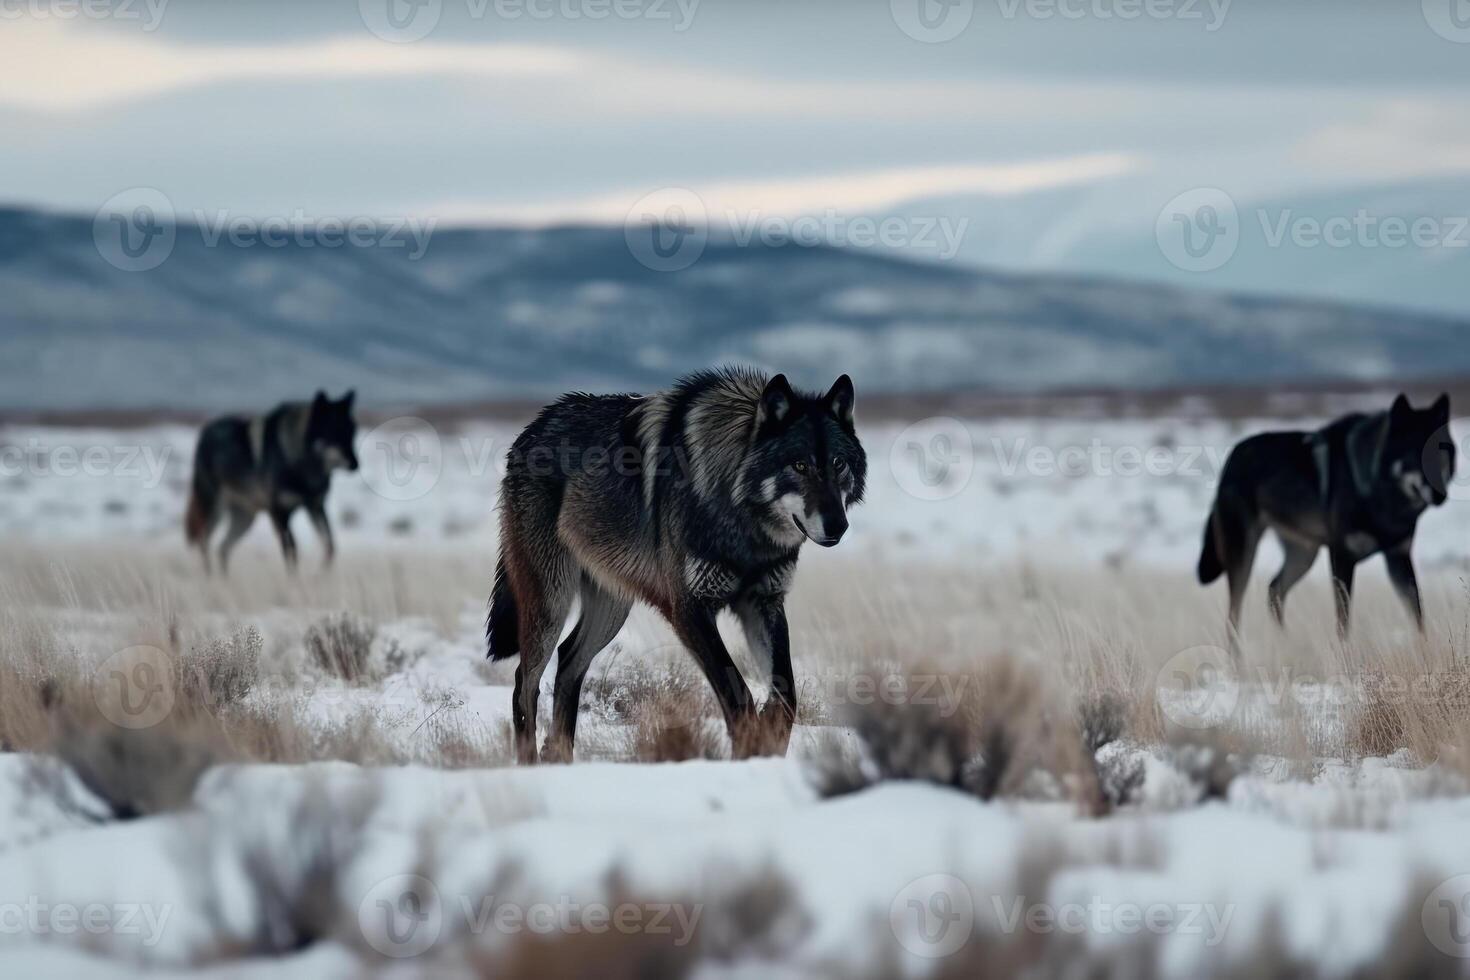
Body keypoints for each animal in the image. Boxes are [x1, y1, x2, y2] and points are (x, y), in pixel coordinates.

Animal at [185, 390, 360, 575]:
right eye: (334, 432)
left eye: (352, 433)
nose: (356, 464)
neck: (300, 466)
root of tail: (205, 431)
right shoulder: (279, 513)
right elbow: (292, 551)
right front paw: (295, 581)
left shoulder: (315, 507)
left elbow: (330, 546)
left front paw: (321, 576)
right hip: (215, 510)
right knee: (203, 541)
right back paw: (210, 577)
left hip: (245, 520)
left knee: (222, 548)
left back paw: (226, 581)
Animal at [488, 367, 864, 764]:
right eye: (800, 465)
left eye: (838, 463)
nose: (838, 526)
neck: (741, 521)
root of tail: (533, 427)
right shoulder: (688, 609)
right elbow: (738, 695)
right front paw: (748, 752)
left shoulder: (763, 603)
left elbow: (786, 696)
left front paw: (770, 742)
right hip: (551, 603)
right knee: (524, 683)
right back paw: (534, 765)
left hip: (612, 608)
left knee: (568, 661)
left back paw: (560, 758)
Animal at [1199, 393, 1452, 646]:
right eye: (1414, 454)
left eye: (1439, 452)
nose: (1440, 495)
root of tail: (1232, 456)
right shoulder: (1341, 556)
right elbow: (1343, 622)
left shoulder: (1398, 557)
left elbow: (1417, 613)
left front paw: (1424, 647)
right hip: (1245, 557)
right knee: (1233, 616)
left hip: (1303, 556)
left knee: (1273, 590)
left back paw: (1286, 643)